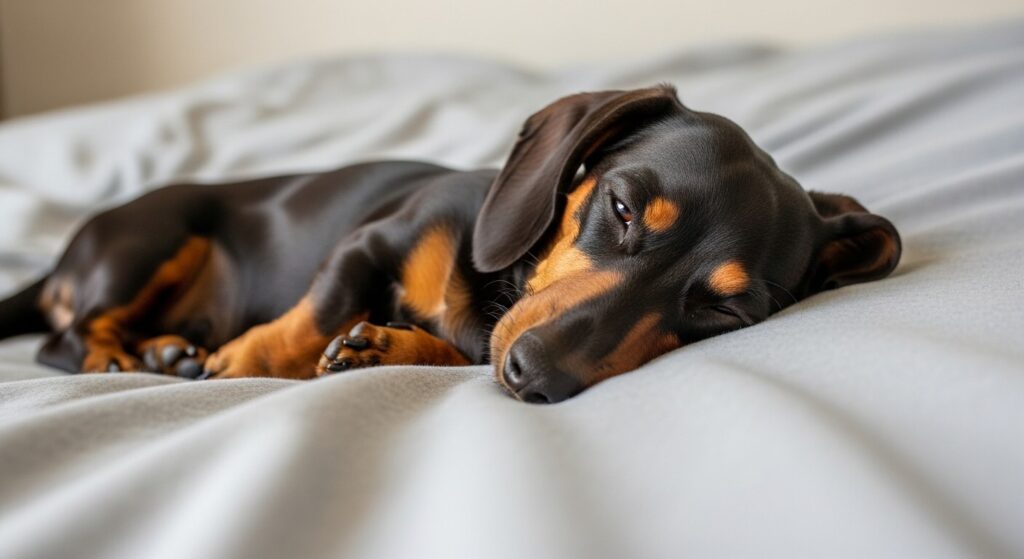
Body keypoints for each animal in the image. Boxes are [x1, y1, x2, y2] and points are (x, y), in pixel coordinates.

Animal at [0, 86, 901, 403]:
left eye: (724, 311)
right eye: (619, 207)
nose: (535, 376)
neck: (495, 282)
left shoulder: (484, 334)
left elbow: (455, 347)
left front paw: (381, 347)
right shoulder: (370, 239)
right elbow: (305, 322)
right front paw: (245, 361)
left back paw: (165, 351)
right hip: (153, 239)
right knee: (61, 339)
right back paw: (133, 355)